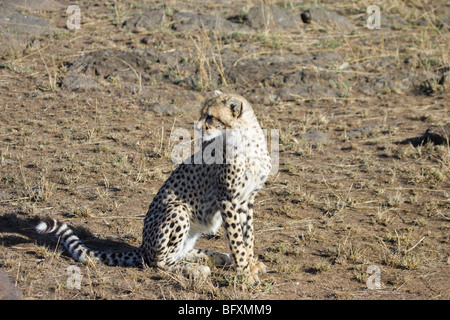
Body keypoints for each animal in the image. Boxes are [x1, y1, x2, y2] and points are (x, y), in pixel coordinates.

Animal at [36, 90, 270, 282]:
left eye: (211, 117)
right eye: (203, 114)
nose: (198, 127)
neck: (245, 140)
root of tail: (142, 247)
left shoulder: (246, 200)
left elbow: (247, 236)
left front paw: (250, 264)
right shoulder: (227, 198)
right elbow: (237, 239)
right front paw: (244, 272)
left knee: (178, 253)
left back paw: (215, 257)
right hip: (178, 209)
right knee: (159, 261)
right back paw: (195, 269)